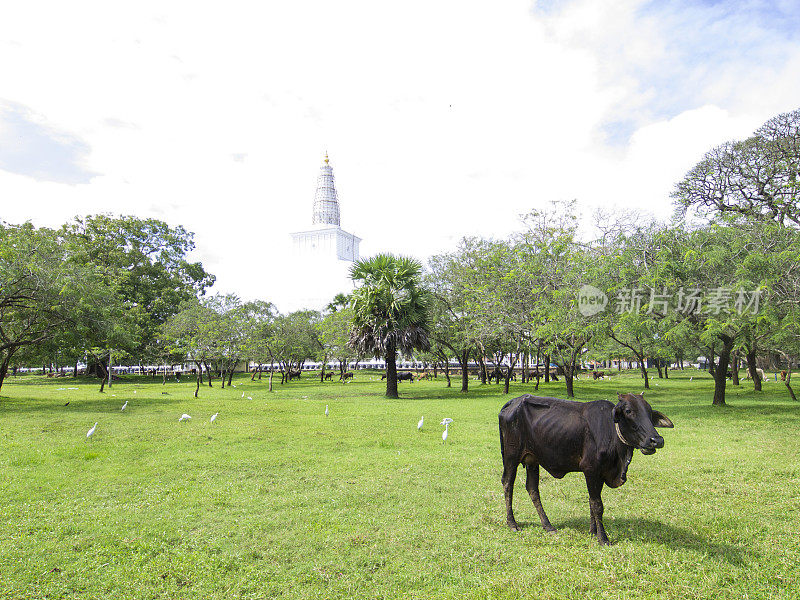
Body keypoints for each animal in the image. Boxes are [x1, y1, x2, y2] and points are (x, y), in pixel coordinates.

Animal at [496, 392, 672, 548]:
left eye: (649, 411)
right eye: (628, 411)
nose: (656, 440)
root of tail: (513, 402)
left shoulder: (600, 474)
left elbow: (591, 502)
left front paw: (593, 532)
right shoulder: (591, 470)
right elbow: (597, 505)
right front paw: (603, 538)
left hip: (533, 460)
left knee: (532, 488)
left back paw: (548, 525)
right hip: (511, 456)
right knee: (508, 483)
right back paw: (512, 523)